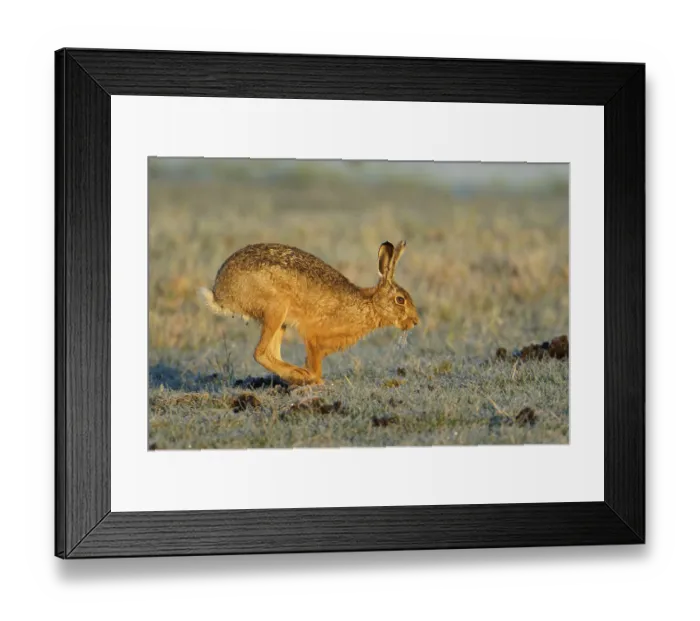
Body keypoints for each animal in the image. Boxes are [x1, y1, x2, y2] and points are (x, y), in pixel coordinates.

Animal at [197, 240, 419, 386]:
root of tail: (222, 293)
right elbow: (315, 365)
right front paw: (316, 381)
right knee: (260, 353)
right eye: (400, 300)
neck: (370, 304)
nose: (415, 321)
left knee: (271, 352)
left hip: (281, 320)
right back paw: (299, 375)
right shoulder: (314, 338)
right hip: (276, 309)